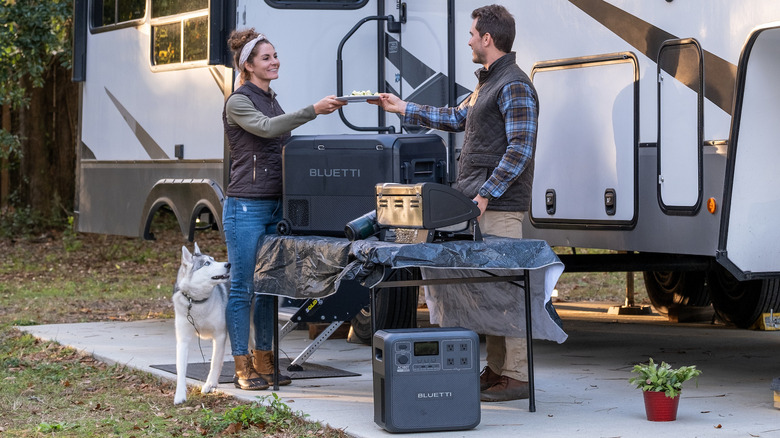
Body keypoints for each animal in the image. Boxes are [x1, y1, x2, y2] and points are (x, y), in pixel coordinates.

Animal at [172, 243, 230, 404]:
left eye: (214, 259)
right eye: (207, 263)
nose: (228, 264)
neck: (197, 301)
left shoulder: (220, 336)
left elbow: (215, 362)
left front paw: (210, 384)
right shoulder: (183, 340)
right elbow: (181, 370)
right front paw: (180, 395)